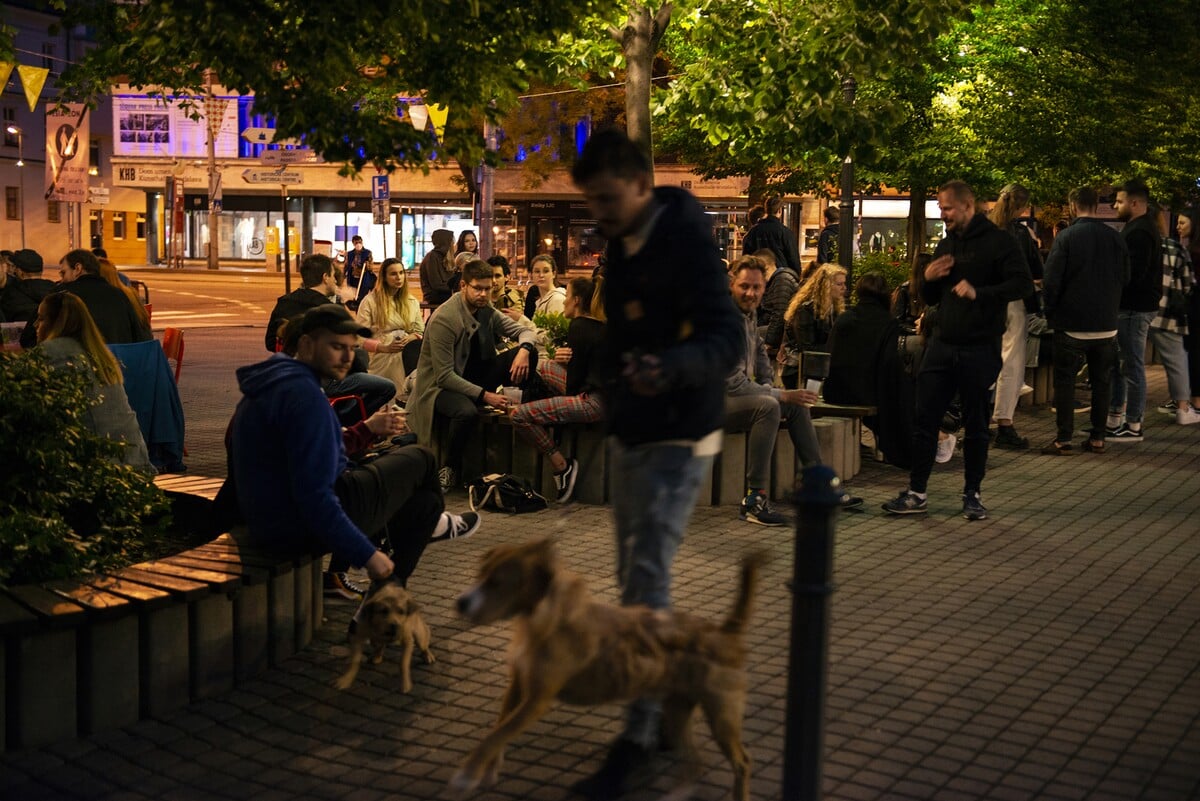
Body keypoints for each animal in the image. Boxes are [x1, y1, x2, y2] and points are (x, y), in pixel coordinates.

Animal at [451, 537, 758, 801]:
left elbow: (495, 735)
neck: (548, 618)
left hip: (722, 715)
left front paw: (467, 775)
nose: (460, 602)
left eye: (497, 583)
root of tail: (725, 632)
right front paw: (488, 770)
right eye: (480, 574)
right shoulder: (518, 684)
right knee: (695, 761)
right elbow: (499, 726)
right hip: (677, 711)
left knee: (742, 761)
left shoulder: (537, 700)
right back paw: (677, 793)